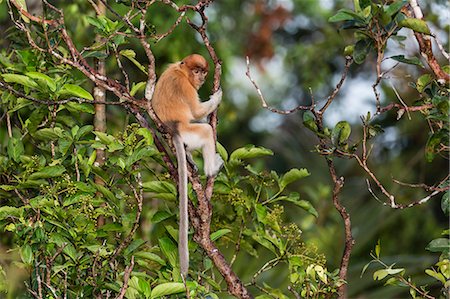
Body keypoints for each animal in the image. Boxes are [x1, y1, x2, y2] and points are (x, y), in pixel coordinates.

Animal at [151, 53, 223, 278]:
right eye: (196, 71)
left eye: (203, 71)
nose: (201, 78)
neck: (181, 71)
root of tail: (173, 128)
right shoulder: (186, 86)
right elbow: (197, 111)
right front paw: (217, 96)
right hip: (188, 130)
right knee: (206, 129)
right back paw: (212, 168)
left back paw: (191, 158)